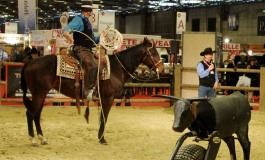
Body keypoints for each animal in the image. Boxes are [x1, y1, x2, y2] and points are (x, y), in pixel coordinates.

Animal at [20, 37, 163, 145]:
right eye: (154, 53)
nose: (161, 69)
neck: (116, 68)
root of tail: (30, 62)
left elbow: (102, 117)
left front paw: (100, 137)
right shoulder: (108, 98)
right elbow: (104, 118)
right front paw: (102, 139)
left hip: (42, 94)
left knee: (37, 114)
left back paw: (42, 138)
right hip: (38, 94)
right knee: (30, 113)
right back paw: (33, 139)